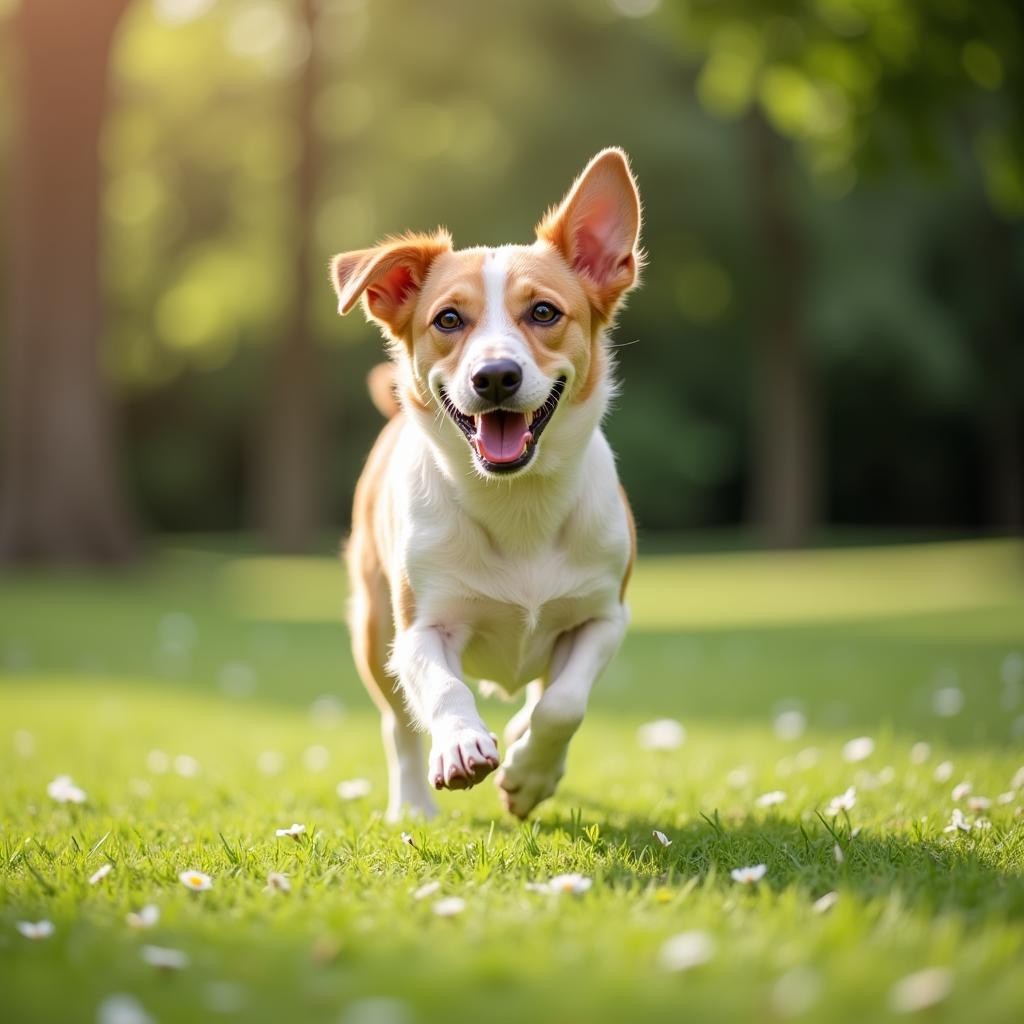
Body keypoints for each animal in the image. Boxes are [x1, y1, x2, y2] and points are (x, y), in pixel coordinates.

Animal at [331, 148, 643, 819]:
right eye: (448, 319)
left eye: (544, 312)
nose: (495, 375)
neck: (516, 505)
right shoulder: (419, 628)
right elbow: (444, 687)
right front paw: (461, 745)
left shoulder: (605, 615)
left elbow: (563, 704)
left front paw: (530, 771)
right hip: (372, 626)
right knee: (398, 724)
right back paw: (413, 805)